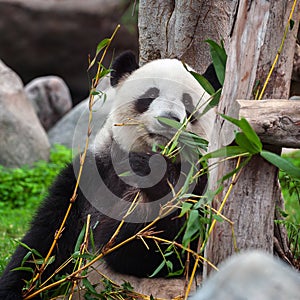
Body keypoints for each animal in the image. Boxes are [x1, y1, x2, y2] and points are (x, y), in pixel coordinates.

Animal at [0, 51, 220, 300]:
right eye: (151, 95)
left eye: (188, 104)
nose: (169, 118)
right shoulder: (88, 177)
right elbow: (46, 240)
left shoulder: (204, 184)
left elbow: (173, 246)